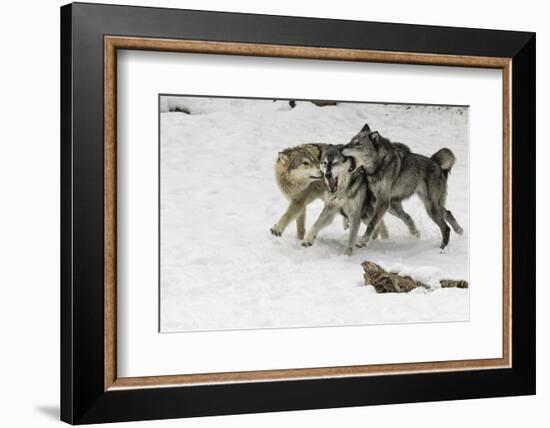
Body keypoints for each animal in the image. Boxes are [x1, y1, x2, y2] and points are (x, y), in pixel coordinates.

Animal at [342, 123, 464, 251]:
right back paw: (459, 230)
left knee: (445, 228)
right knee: (447, 213)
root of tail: (436, 163)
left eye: (358, 144)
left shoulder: (382, 201)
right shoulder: (377, 200)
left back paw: (441, 248)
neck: (378, 165)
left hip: (430, 208)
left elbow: (372, 223)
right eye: (350, 140)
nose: (341, 148)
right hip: (423, 206)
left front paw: (362, 241)